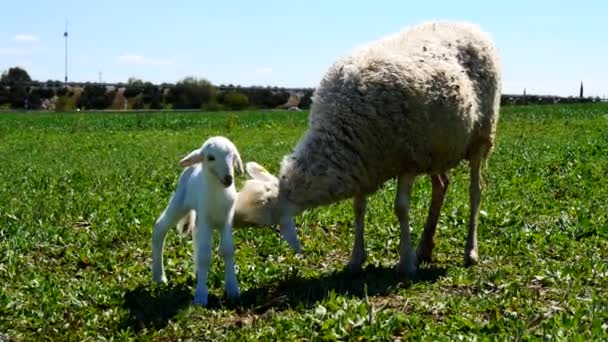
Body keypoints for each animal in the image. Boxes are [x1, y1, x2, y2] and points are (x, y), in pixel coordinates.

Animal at [151, 135, 245, 306]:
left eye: (233, 157)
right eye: (211, 158)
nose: (229, 178)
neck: (218, 194)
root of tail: (194, 163)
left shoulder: (227, 220)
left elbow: (228, 250)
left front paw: (233, 289)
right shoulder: (206, 219)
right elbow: (205, 255)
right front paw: (201, 295)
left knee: (195, 233)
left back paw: (196, 271)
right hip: (180, 201)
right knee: (159, 228)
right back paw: (159, 276)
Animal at [230, 21, 502, 276]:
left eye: (263, 224)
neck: (341, 131)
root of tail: (469, 26)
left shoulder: (407, 160)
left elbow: (401, 208)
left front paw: (406, 263)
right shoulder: (363, 163)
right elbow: (358, 208)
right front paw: (356, 259)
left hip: (481, 136)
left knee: (475, 191)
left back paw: (470, 252)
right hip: (437, 148)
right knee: (441, 185)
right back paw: (425, 247)